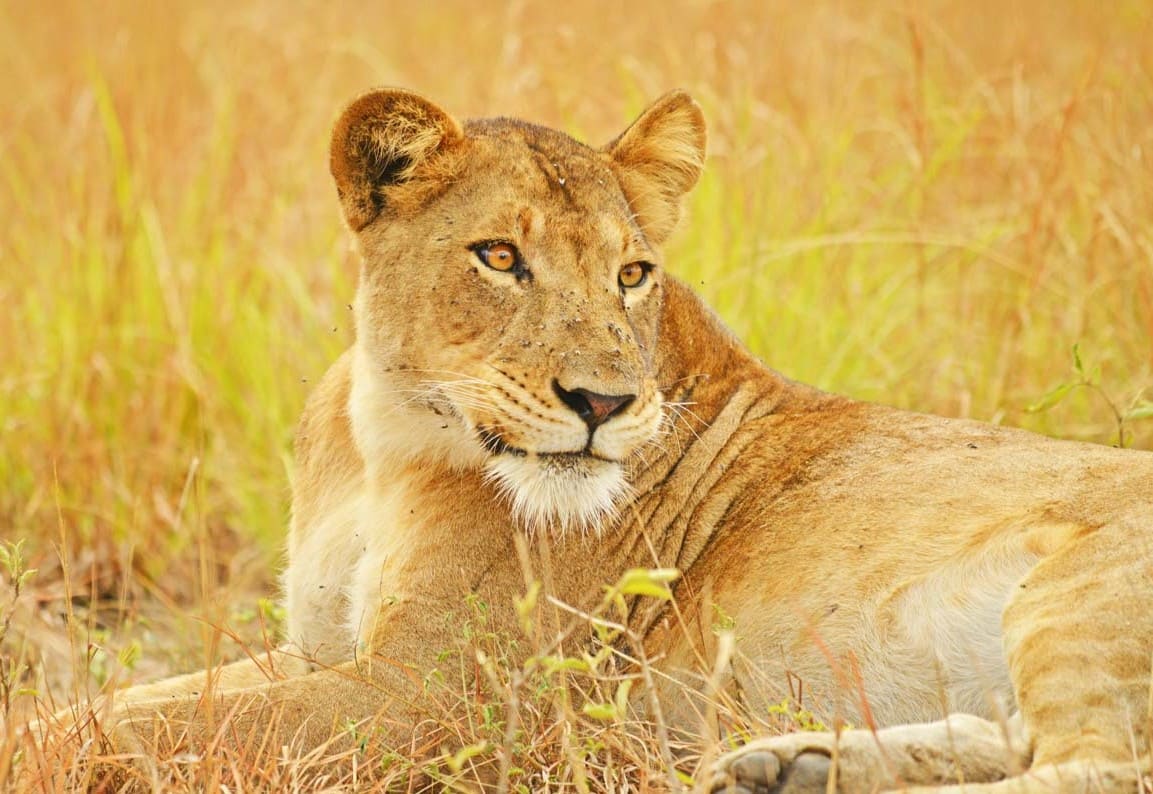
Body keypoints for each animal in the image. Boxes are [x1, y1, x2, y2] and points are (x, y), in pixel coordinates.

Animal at [28, 88, 1153, 792]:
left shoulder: (438, 704)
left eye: (631, 273)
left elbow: (148, 725)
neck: (387, 440)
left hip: (1080, 592)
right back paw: (789, 764)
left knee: (1100, 763)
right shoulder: (318, 648)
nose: (603, 403)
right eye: (498, 257)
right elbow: (127, 699)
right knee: (1024, 738)